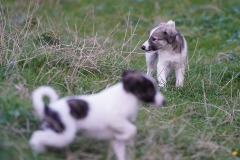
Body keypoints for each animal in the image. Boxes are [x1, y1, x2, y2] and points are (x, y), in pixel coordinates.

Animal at [29, 70, 166, 160]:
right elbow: (132, 129)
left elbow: (121, 151)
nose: (164, 101)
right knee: (37, 136)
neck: (127, 96)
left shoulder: (118, 141)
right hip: (64, 134)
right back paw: (36, 152)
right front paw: (122, 135)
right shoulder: (115, 120)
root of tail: (48, 109)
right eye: (151, 90)